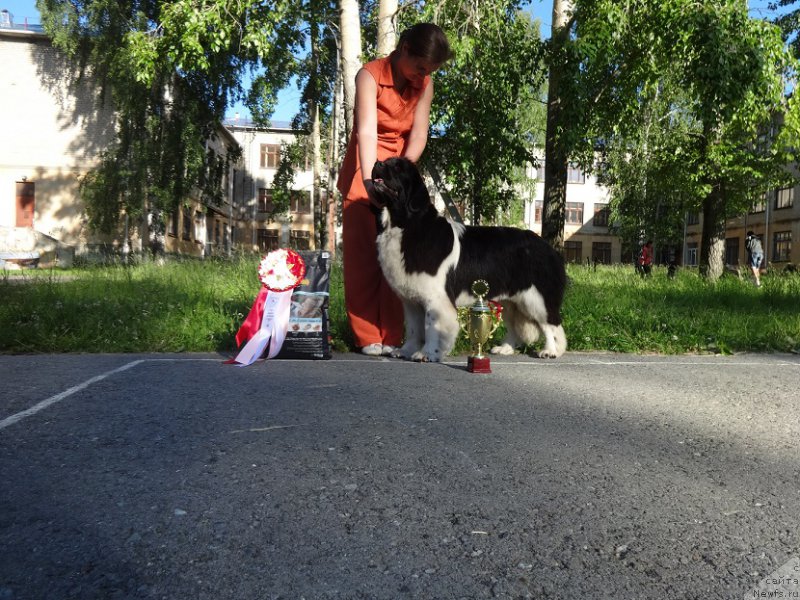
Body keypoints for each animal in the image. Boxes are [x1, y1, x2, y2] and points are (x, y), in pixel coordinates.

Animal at [370, 156, 564, 360]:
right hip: (511, 300)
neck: (405, 225)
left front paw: (427, 353)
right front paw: (406, 350)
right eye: (386, 162)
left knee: (550, 323)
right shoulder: (412, 299)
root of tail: (548, 247)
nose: (377, 164)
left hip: (536, 297)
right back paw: (505, 348)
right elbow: (414, 328)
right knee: (514, 325)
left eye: (398, 167)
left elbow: (431, 326)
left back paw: (551, 351)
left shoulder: (435, 297)